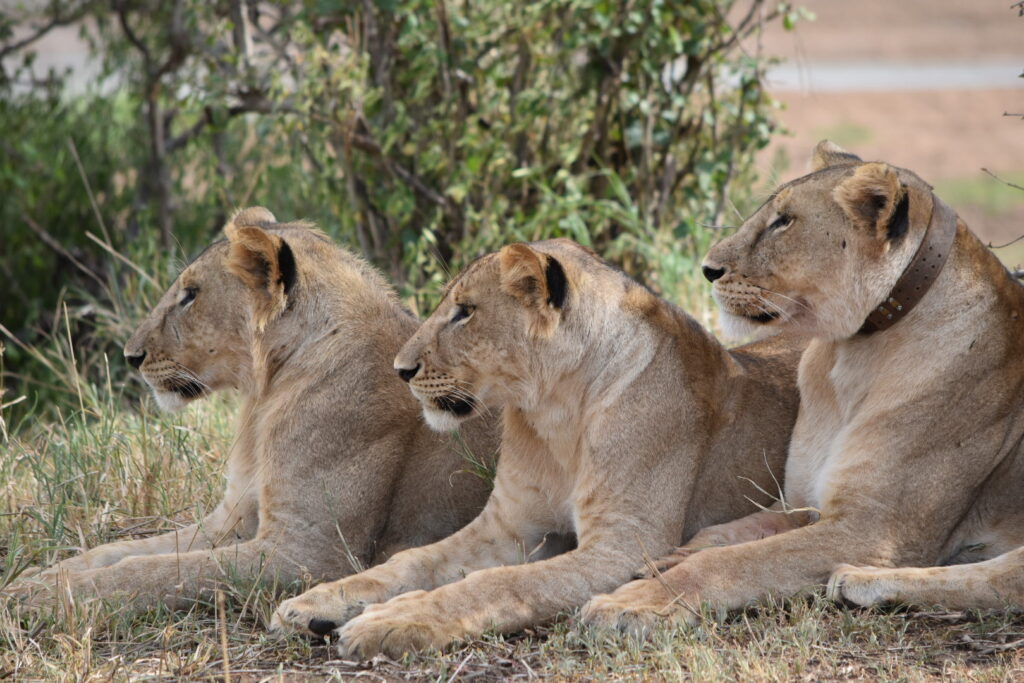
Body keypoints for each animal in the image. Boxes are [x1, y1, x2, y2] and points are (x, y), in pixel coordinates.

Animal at [7, 208, 499, 611]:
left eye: (190, 294)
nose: (130, 356)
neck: (266, 392)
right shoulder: (233, 517)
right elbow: (120, 551)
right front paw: (35, 579)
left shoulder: (310, 552)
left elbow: (152, 571)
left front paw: (46, 598)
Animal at [268, 238, 803, 657]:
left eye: (465, 312)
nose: (400, 370)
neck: (556, 413)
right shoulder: (508, 526)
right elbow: (412, 560)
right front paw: (320, 602)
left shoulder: (625, 546)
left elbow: (501, 582)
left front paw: (394, 619)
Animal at [581, 141, 1024, 632]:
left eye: (783, 221)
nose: (708, 269)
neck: (849, 357)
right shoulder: (800, 503)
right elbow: (724, 533)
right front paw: (666, 560)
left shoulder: (875, 530)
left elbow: (733, 562)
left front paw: (635, 601)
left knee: (1004, 581)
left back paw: (860, 582)